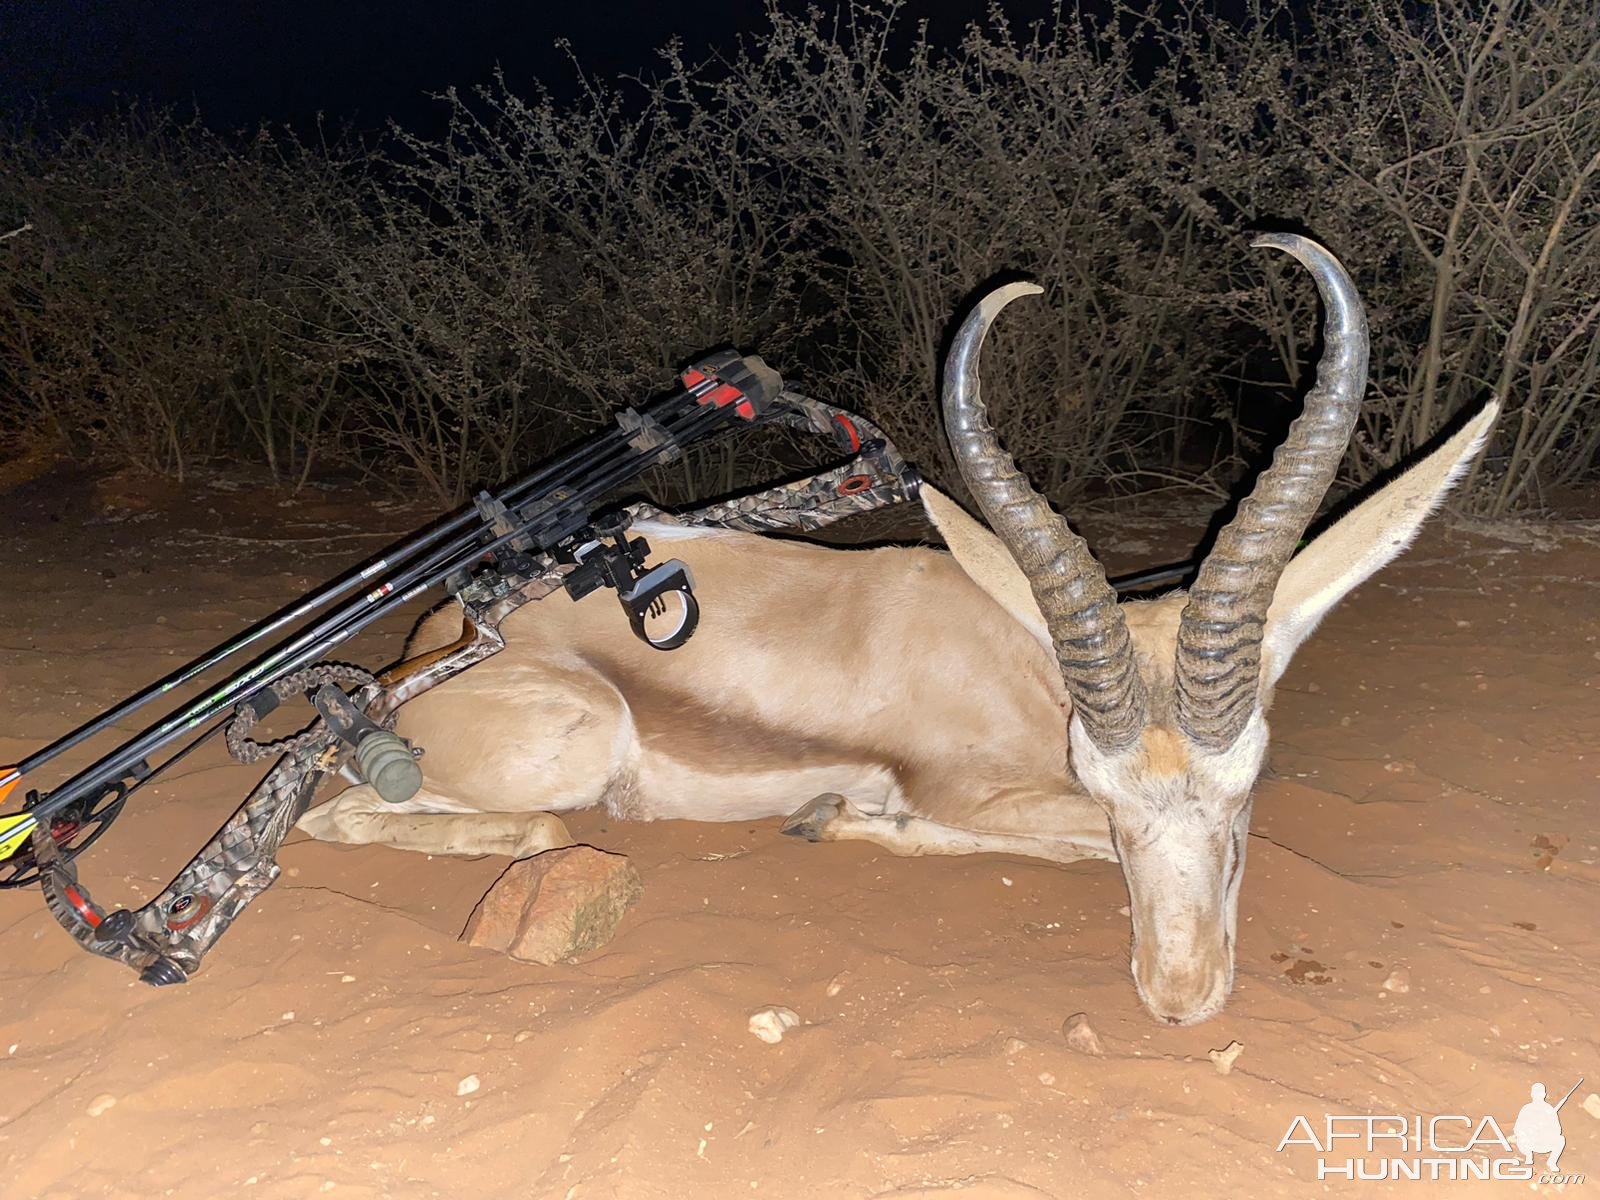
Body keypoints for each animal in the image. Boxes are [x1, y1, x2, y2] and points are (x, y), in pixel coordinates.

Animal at [294, 235, 1491, 1024]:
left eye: (1242, 800)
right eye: (1112, 806)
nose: (1178, 998)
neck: (1026, 669)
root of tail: (408, 661)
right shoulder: (983, 797)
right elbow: (1015, 838)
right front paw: (837, 821)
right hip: (571, 744)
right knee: (353, 819)